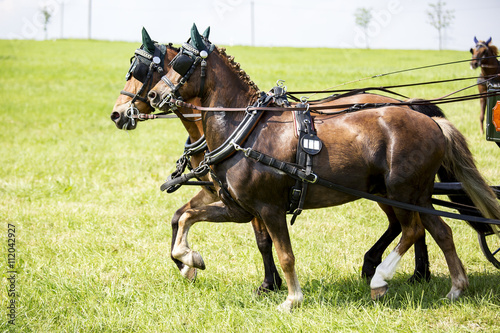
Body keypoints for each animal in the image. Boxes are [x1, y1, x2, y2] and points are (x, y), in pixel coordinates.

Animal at [148, 25, 500, 308]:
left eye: (180, 62)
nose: (154, 95)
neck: (246, 130)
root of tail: (433, 122)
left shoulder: (269, 208)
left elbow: (285, 255)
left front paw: (292, 298)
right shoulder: (240, 207)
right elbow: (187, 217)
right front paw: (190, 259)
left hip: (401, 192)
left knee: (413, 230)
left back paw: (380, 278)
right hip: (417, 194)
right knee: (441, 232)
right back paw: (455, 288)